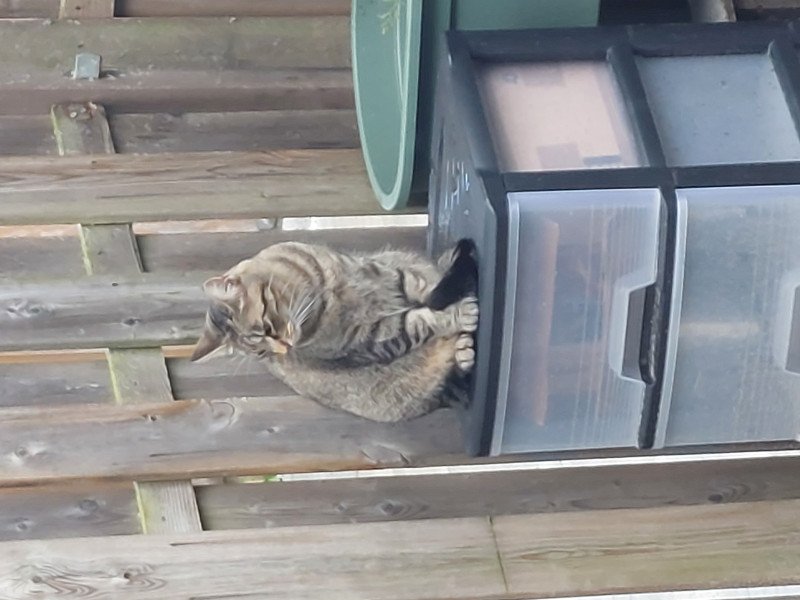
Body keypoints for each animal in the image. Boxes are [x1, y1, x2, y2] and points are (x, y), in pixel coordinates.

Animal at [191, 240, 478, 422]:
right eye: (262, 353)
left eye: (266, 327)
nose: (285, 348)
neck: (317, 295)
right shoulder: (370, 339)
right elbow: (417, 322)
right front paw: (458, 314)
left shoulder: (384, 272)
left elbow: (422, 286)